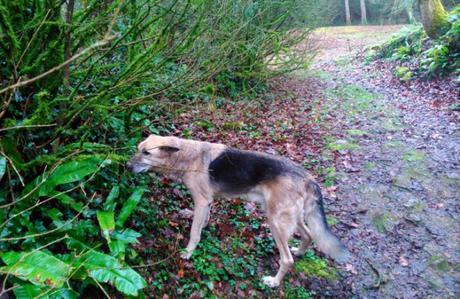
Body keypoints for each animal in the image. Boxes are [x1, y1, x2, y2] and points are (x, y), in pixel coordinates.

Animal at [126, 136, 348, 288]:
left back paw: (274, 282)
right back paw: (300, 252)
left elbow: (194, 232)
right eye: (138, 150)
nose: (126, 166)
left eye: (147, 153)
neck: (187, 156)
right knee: (308, 235)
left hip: (275, 222)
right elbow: (203, 223)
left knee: (287, 259)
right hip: (290, 217)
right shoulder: (208, 202)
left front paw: (188, 252)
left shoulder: (201, 202)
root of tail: (308, 178)